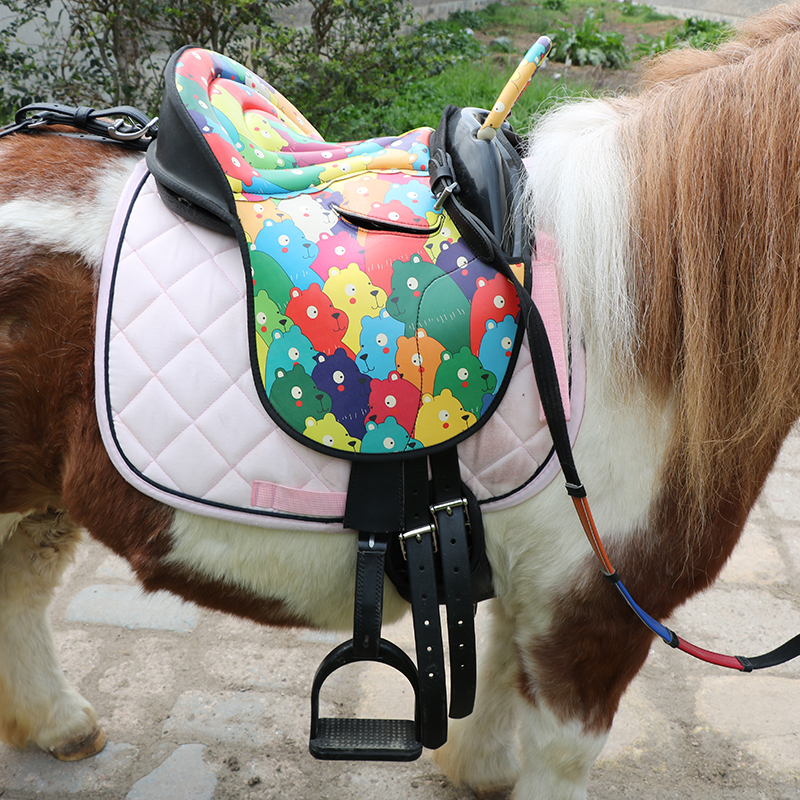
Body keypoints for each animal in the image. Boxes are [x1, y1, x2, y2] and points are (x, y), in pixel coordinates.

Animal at [3, 2, 800, 797]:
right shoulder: (593, 619)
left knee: (21, 584)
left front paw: (478, 766)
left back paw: (59, 724)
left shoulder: (534, 593)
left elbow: (498, 674)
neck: (640, 317)